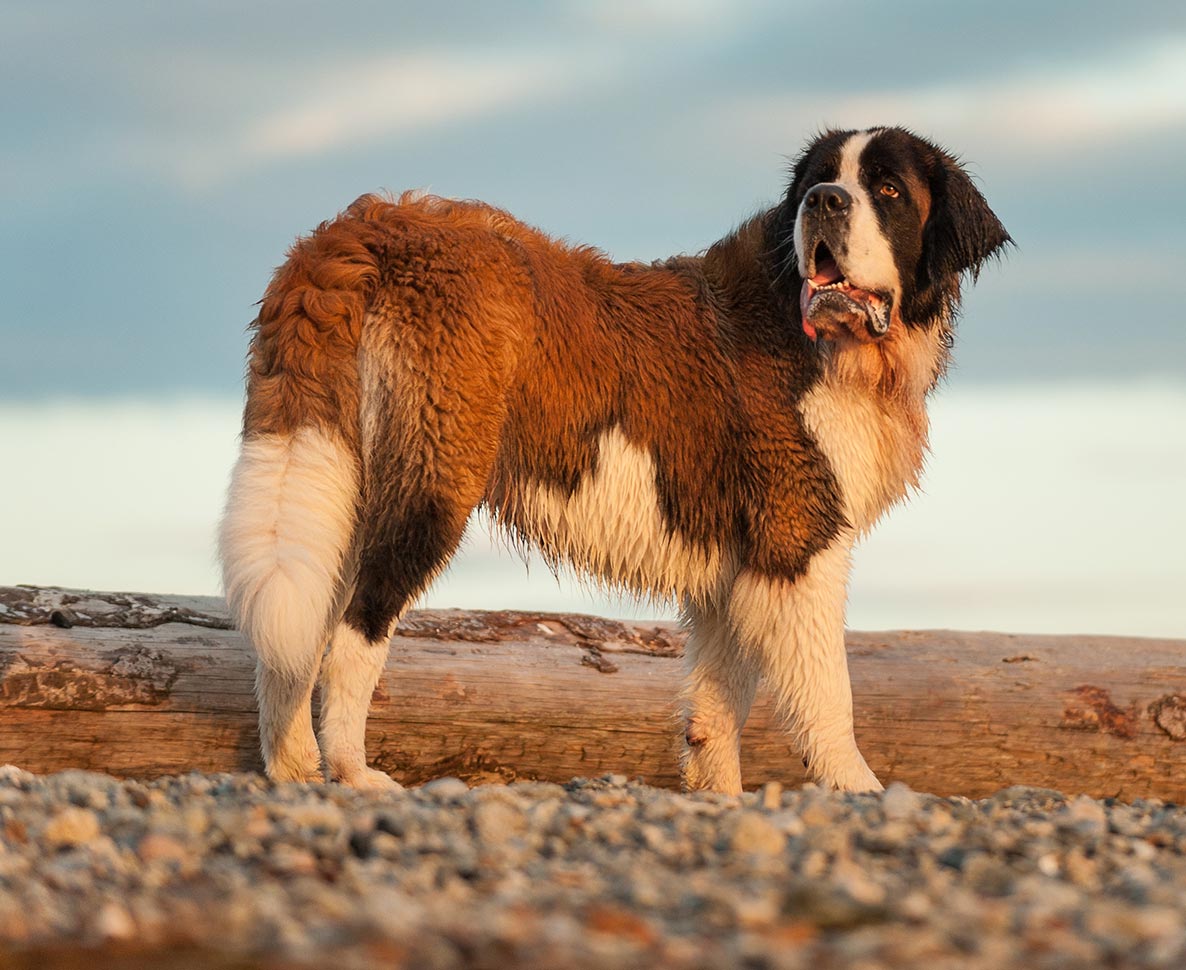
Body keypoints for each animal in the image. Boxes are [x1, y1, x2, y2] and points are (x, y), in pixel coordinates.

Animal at [220, 126, 1010, 792]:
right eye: (823, 180)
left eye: (888, 189)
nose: (824, 201)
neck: (832, 343)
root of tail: (370, 224)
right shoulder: (800, 547)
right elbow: (828, 693)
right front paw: (859, 789)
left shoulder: (733, 571)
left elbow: (718, 703)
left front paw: (719, 797)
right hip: (433, 483)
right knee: (354, 633)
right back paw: (353, 773)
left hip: (342, 478)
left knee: (295, 633)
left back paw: (293, 770)